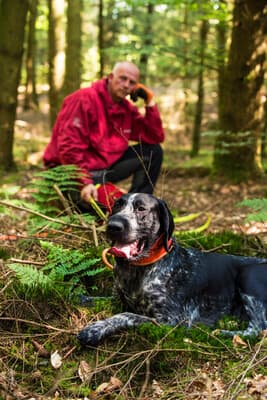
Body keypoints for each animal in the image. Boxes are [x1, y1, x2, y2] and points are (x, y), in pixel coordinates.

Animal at [77, 192, 267, 346]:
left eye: (141, 208)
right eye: (117, 205)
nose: (113, 226)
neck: (139, 269)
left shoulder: (172, 320)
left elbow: (126, 315)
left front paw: (95, 329)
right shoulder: (117, 298)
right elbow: (92, 299)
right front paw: (78, 297)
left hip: (248, 275)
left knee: (258, 328)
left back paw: (223, 333)